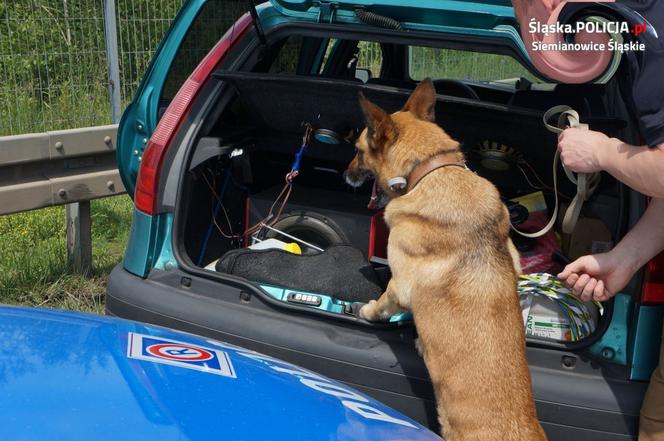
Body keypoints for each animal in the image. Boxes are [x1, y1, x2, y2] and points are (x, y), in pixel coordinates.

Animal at [344, 80, 548, 440]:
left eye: (357, 150)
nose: (344, 175)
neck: (430, 170)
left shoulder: (398, 286)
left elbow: (381, 305)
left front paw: (366, 311)